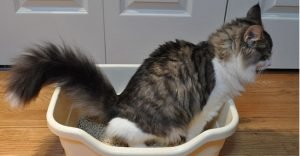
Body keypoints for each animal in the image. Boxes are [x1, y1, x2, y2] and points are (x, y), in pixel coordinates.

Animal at [5, 3, 272, 147]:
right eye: (268, 51)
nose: (271, 61)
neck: (219, 55)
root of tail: (118, 102)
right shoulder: (207, 107)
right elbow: (195, 132)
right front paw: (190, 143)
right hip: (150, 126)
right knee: (127, 136)